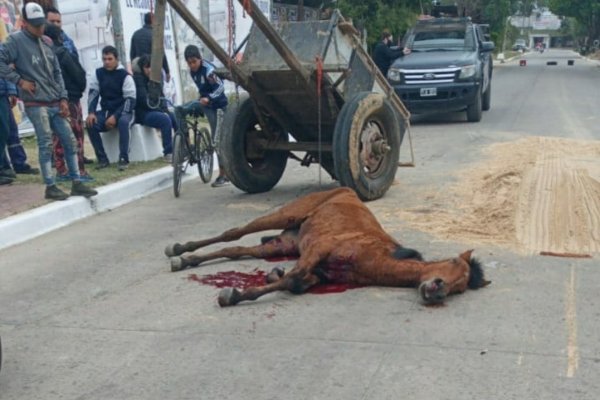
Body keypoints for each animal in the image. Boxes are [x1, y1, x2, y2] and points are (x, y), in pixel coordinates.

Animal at [163, 188, 488, 306]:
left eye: (460, 288)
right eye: (453, 263)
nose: (437, 290)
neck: (374, 258)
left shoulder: (318, 272)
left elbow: (294, 282)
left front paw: (266, 280)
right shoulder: (318, 249)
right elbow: (292, 279)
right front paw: (234, 295)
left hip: (284, 243)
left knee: (236, 251)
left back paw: (187, 259)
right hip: (286, 214)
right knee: (233, 233)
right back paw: (178, 250)